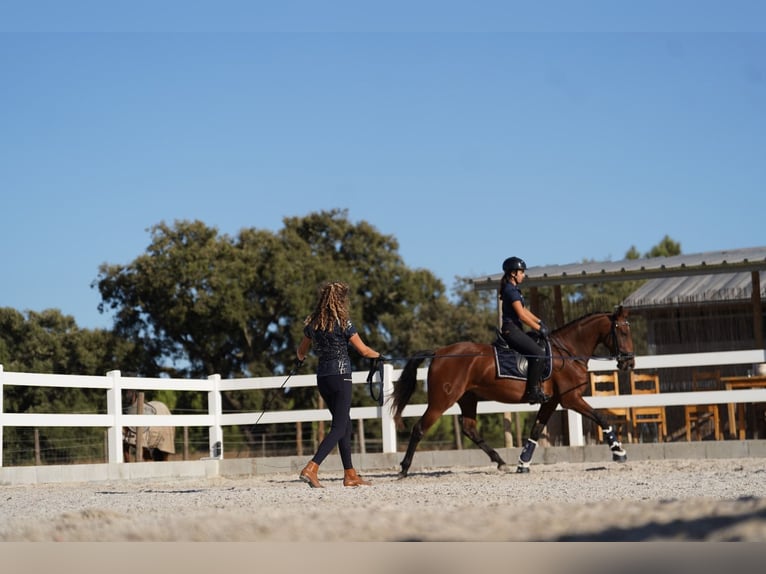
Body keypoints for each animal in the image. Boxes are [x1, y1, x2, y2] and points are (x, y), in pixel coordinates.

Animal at [390, 308, 636, 480]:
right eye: (622, 331)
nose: (629, 363)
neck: (567, 352)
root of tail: (439, 352)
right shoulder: (570, 399)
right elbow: (600, 416)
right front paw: (619, 452)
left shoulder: (552, 401)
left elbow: (536, 430)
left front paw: (523, 464)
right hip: (441, 401)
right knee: (419, 428)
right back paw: (403, 469)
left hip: (468, 398)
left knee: (469, 429)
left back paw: (500, 461)